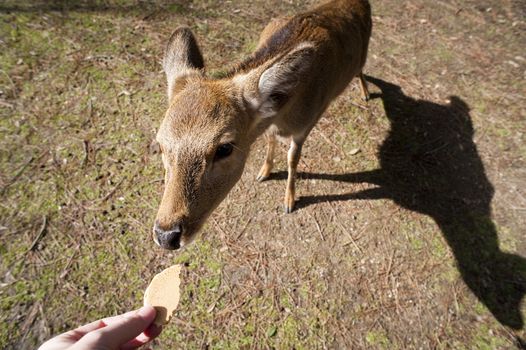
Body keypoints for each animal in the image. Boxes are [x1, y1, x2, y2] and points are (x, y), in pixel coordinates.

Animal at [155, 0, 374, 252]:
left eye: (225, 148)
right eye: (160, 144)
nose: (166, 235)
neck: (287, 112)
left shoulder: (306, 125)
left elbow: (293, 159)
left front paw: (289, 201)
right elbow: (270, 140)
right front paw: (264, 172)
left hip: (364, 54)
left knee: (361, 69)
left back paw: (366, 93)